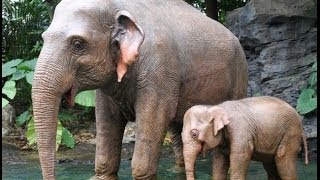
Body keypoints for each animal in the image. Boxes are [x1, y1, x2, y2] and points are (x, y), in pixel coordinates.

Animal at [31, 0, 249, 179]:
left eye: (77, 44)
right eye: (43, 38)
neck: (118, 6)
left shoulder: (159, 71)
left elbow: (153, 120)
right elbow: (107, 121)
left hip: (239, 74)